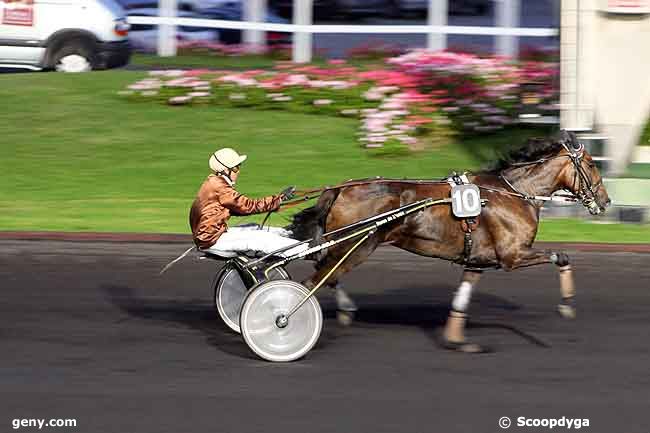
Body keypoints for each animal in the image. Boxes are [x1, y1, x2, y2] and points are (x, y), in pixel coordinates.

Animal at [286, 130, 612, 352]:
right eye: (591, 164)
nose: (606, 201)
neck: (514, 192)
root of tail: (339, 188)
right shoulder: (513, 255)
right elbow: (562, 256)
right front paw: (567, 304)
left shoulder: (479, 261)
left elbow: (461, 299)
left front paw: (457, 340)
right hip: (358, 245)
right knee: (314, 280)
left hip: (346, 245)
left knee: (324, 273)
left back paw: (343, 309)